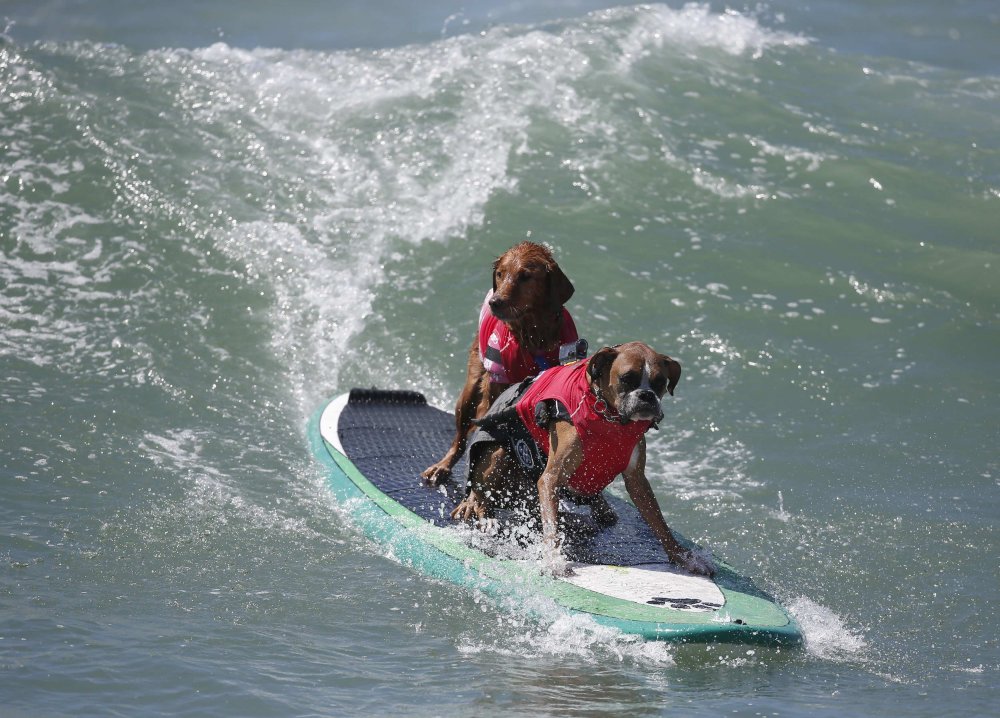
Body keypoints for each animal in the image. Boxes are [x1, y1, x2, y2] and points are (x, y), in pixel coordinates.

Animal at [422, 245, 580, 486]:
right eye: (500, 274)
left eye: (525, 276)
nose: (495, 302)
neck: (532, 338)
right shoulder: (495, 386)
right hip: (469, 391)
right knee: (460, 439)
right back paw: (442, 467)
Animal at [450, 344, 716, 580]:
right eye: (627, 378)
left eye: (660, 382)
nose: (647, 395)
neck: (609, 418)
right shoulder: (551, 478)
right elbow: (551, 527)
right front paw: (554, 559)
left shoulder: (637, 482)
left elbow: (659, 522)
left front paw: (682, 556)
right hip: (498, 455)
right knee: (481, 491)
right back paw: (482, 511)